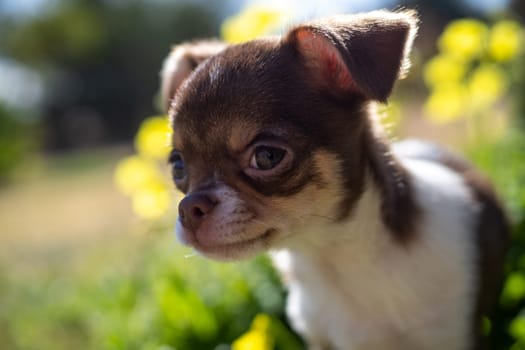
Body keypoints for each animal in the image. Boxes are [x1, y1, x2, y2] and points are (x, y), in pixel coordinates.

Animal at [159, 10, 508, 350]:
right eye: (178, 166)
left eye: (267, 156)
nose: (188, 208)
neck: (328, 257)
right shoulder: (318, 337)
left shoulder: (451, 334)